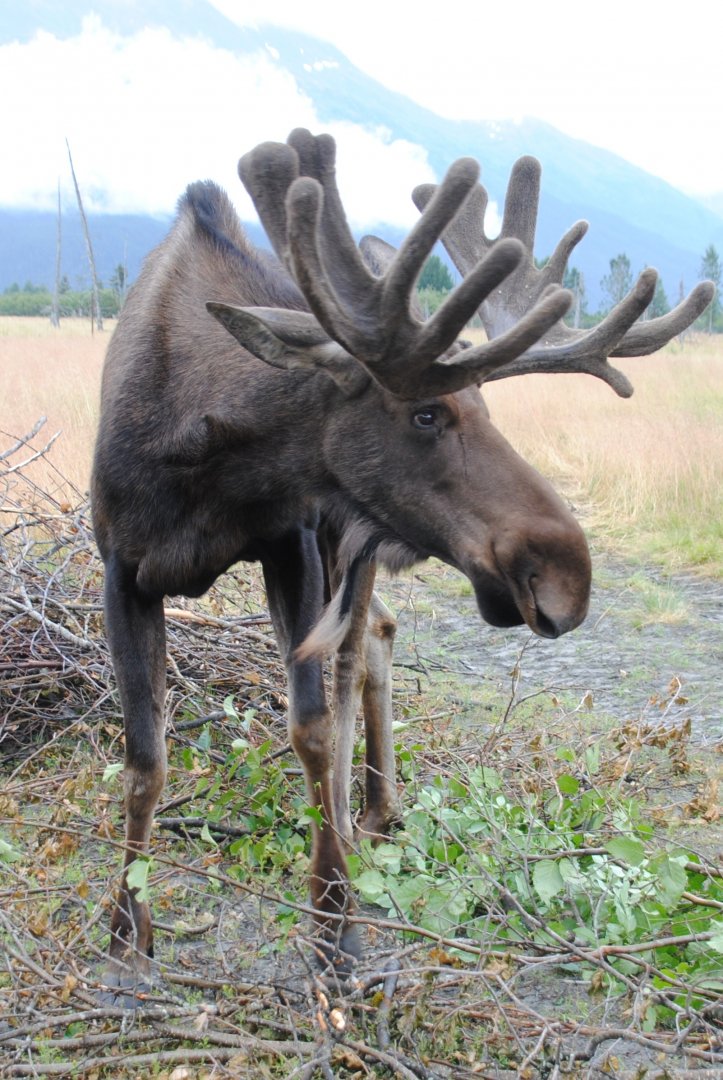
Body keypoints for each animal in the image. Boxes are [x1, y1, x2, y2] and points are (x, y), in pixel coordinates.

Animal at [91, 128, 713, 989]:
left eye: (487, 405)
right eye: (427, 412)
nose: (567, 576)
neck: (199, 452)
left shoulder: (294, 543)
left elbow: (313, 729)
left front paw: (333, 919)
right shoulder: (121, 568)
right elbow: (144, 761)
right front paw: (127, 929)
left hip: (348, 544)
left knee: (362, 654)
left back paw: (367, 816)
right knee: (374, 640)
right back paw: (371, 811)